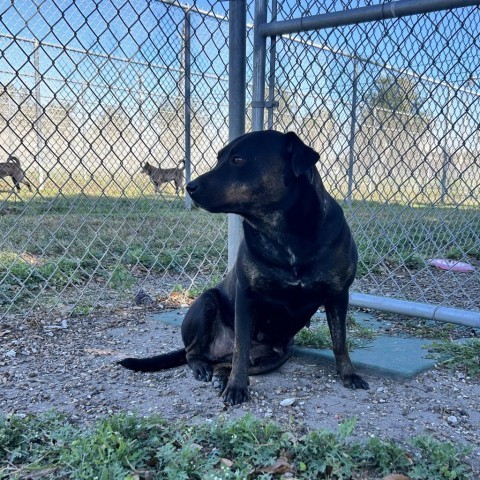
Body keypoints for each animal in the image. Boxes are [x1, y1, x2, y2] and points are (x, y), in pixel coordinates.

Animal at [120, 131, 368, 404]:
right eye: (219, 158)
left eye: (238, 159)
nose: (190, 187)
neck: (284, 234)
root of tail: (217, 353)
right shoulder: (247, 295)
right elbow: (241, 347)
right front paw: (237, 387)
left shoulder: (338, 295)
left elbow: (340, 341)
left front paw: (348, 373)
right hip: (205, 303)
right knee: (194, 353)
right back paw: (204, 368)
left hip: (279, 356)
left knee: (227, 363)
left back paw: (220, 374)